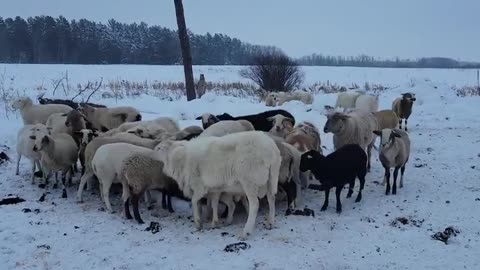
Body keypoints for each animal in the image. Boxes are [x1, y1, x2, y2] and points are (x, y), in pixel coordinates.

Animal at [154, 131, 282, 238]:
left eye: (159, 148)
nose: (151, 153)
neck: (181, 159)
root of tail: (272, 150)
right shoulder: (214, 189)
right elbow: (213, 203)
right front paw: (213, 222)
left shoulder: (199, 186)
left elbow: (194, 201)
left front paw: (198, 222)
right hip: (270, 180)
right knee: (271, 199)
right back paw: (270, 223)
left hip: (250, 181)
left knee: (255, 204)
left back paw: (246, 232)